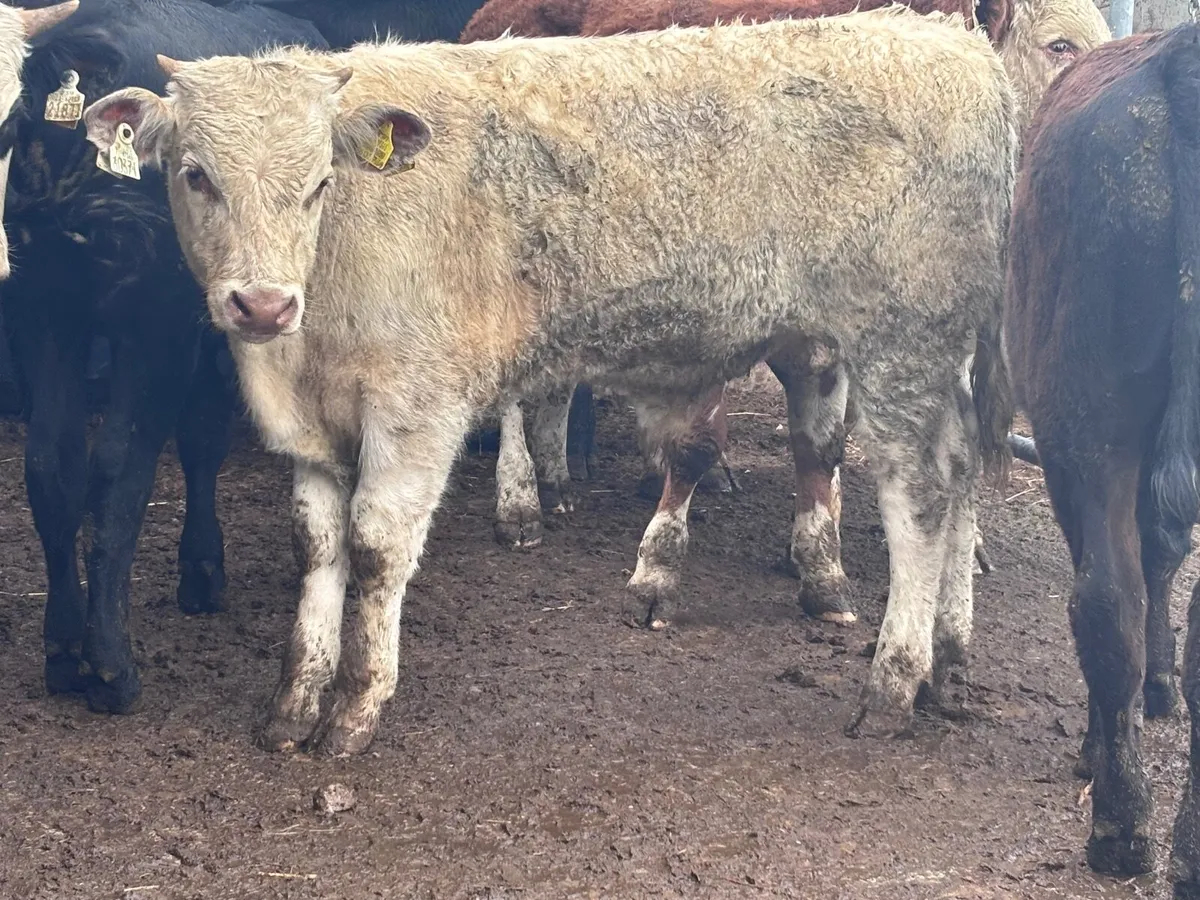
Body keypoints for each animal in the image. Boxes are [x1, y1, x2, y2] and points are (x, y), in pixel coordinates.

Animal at [0, 0, 327, 715]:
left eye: (5, 122)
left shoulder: (154, 323)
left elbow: (108, 470)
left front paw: (98, 657)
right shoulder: (50, 310)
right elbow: (65, 467)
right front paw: (77, 652)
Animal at [83, 9, 1017, 754]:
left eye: (318, 183)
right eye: (196, 174)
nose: (263, 303)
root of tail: (950, 41)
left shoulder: (416, 410)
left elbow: (376, 549)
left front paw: (354, 708)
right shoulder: (314, 429)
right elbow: (317, 549)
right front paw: (293, 701)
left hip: (902, 341)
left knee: (919, 495)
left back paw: (893, 682)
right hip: (939, 356)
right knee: (962, 469)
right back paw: (950, 662)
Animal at [462, 0, 1110, 621]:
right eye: (1059, 44)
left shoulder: (832, 340)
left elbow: (822, 447)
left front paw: (821, 563)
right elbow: (698, 441)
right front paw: (657, 572)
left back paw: (559, 478)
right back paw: (521, 502)